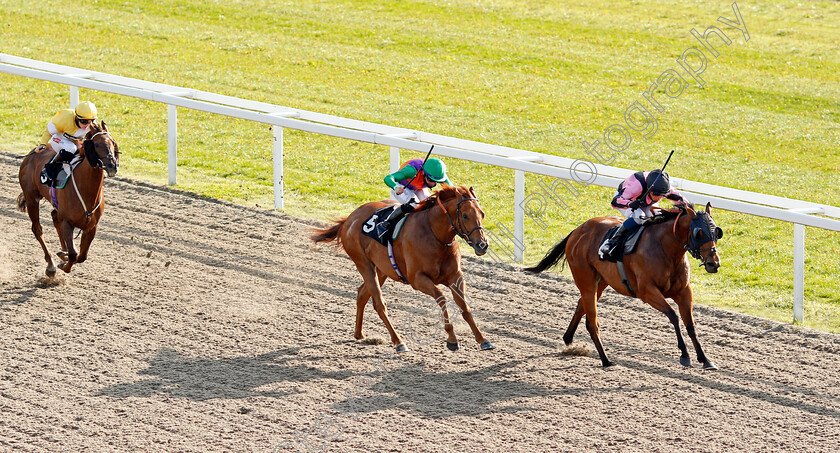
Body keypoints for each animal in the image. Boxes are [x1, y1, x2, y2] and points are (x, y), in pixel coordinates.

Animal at [17, 120, 120, 276]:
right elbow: (73, 254)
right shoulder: (67, 222)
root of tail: (32, 153)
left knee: (54, 217)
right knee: (37, 229)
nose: (112, 165)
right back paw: (51, 264)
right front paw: (63, 263)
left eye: (113, 142)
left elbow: (82, 256)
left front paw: (63, 256)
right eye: (96, 145)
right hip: (31, 199)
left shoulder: (91, 227)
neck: (87, 192)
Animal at [310, 185, 496, 352]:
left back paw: (359, 334)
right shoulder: (417, 279)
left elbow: (465, 307)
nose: (482, 245)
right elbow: (442, 298)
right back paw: (399, 342)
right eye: (465, 215)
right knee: (379, 304)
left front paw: (483, 339)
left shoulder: (456, 277)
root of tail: (349, 219)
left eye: (482, 214)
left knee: (362, 294)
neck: (434, 235)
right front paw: (451, 339)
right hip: (364, 265)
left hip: (382, 270)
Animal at [524, 203, 720, 370]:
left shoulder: (684, 292)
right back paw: (605, 360)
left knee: (581, 305)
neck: (666, 249)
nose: (714, 263)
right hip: (586, 281)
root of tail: (578, 230)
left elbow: (690, 325)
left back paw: (568, 338)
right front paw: (684, 355)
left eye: (717, 232)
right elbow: (673, 315)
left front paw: (705, 360)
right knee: (592, 322)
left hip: (601, 282)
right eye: (699, 233)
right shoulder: (647, 292)